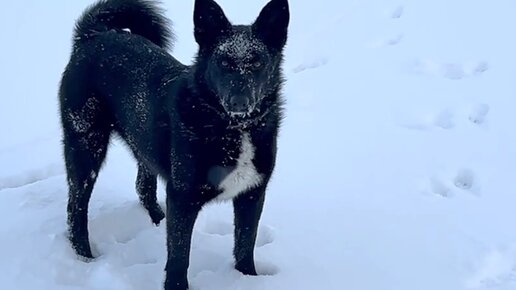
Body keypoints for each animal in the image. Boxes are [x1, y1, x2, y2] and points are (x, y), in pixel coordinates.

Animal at [59, 0, 290, 288]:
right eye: (223, 62)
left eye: (257, 62)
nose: (239, 102)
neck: (231, 128)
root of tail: (94, 35)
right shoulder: (183, 198)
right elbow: (179, 256)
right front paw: (176, 286)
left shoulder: (252, 194)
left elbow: (245, 245)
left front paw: (247, 278)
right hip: (85, 147)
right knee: (76, 207)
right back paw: (85, 257)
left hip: (142, 143)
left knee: (143, 186)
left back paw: (157, 220)